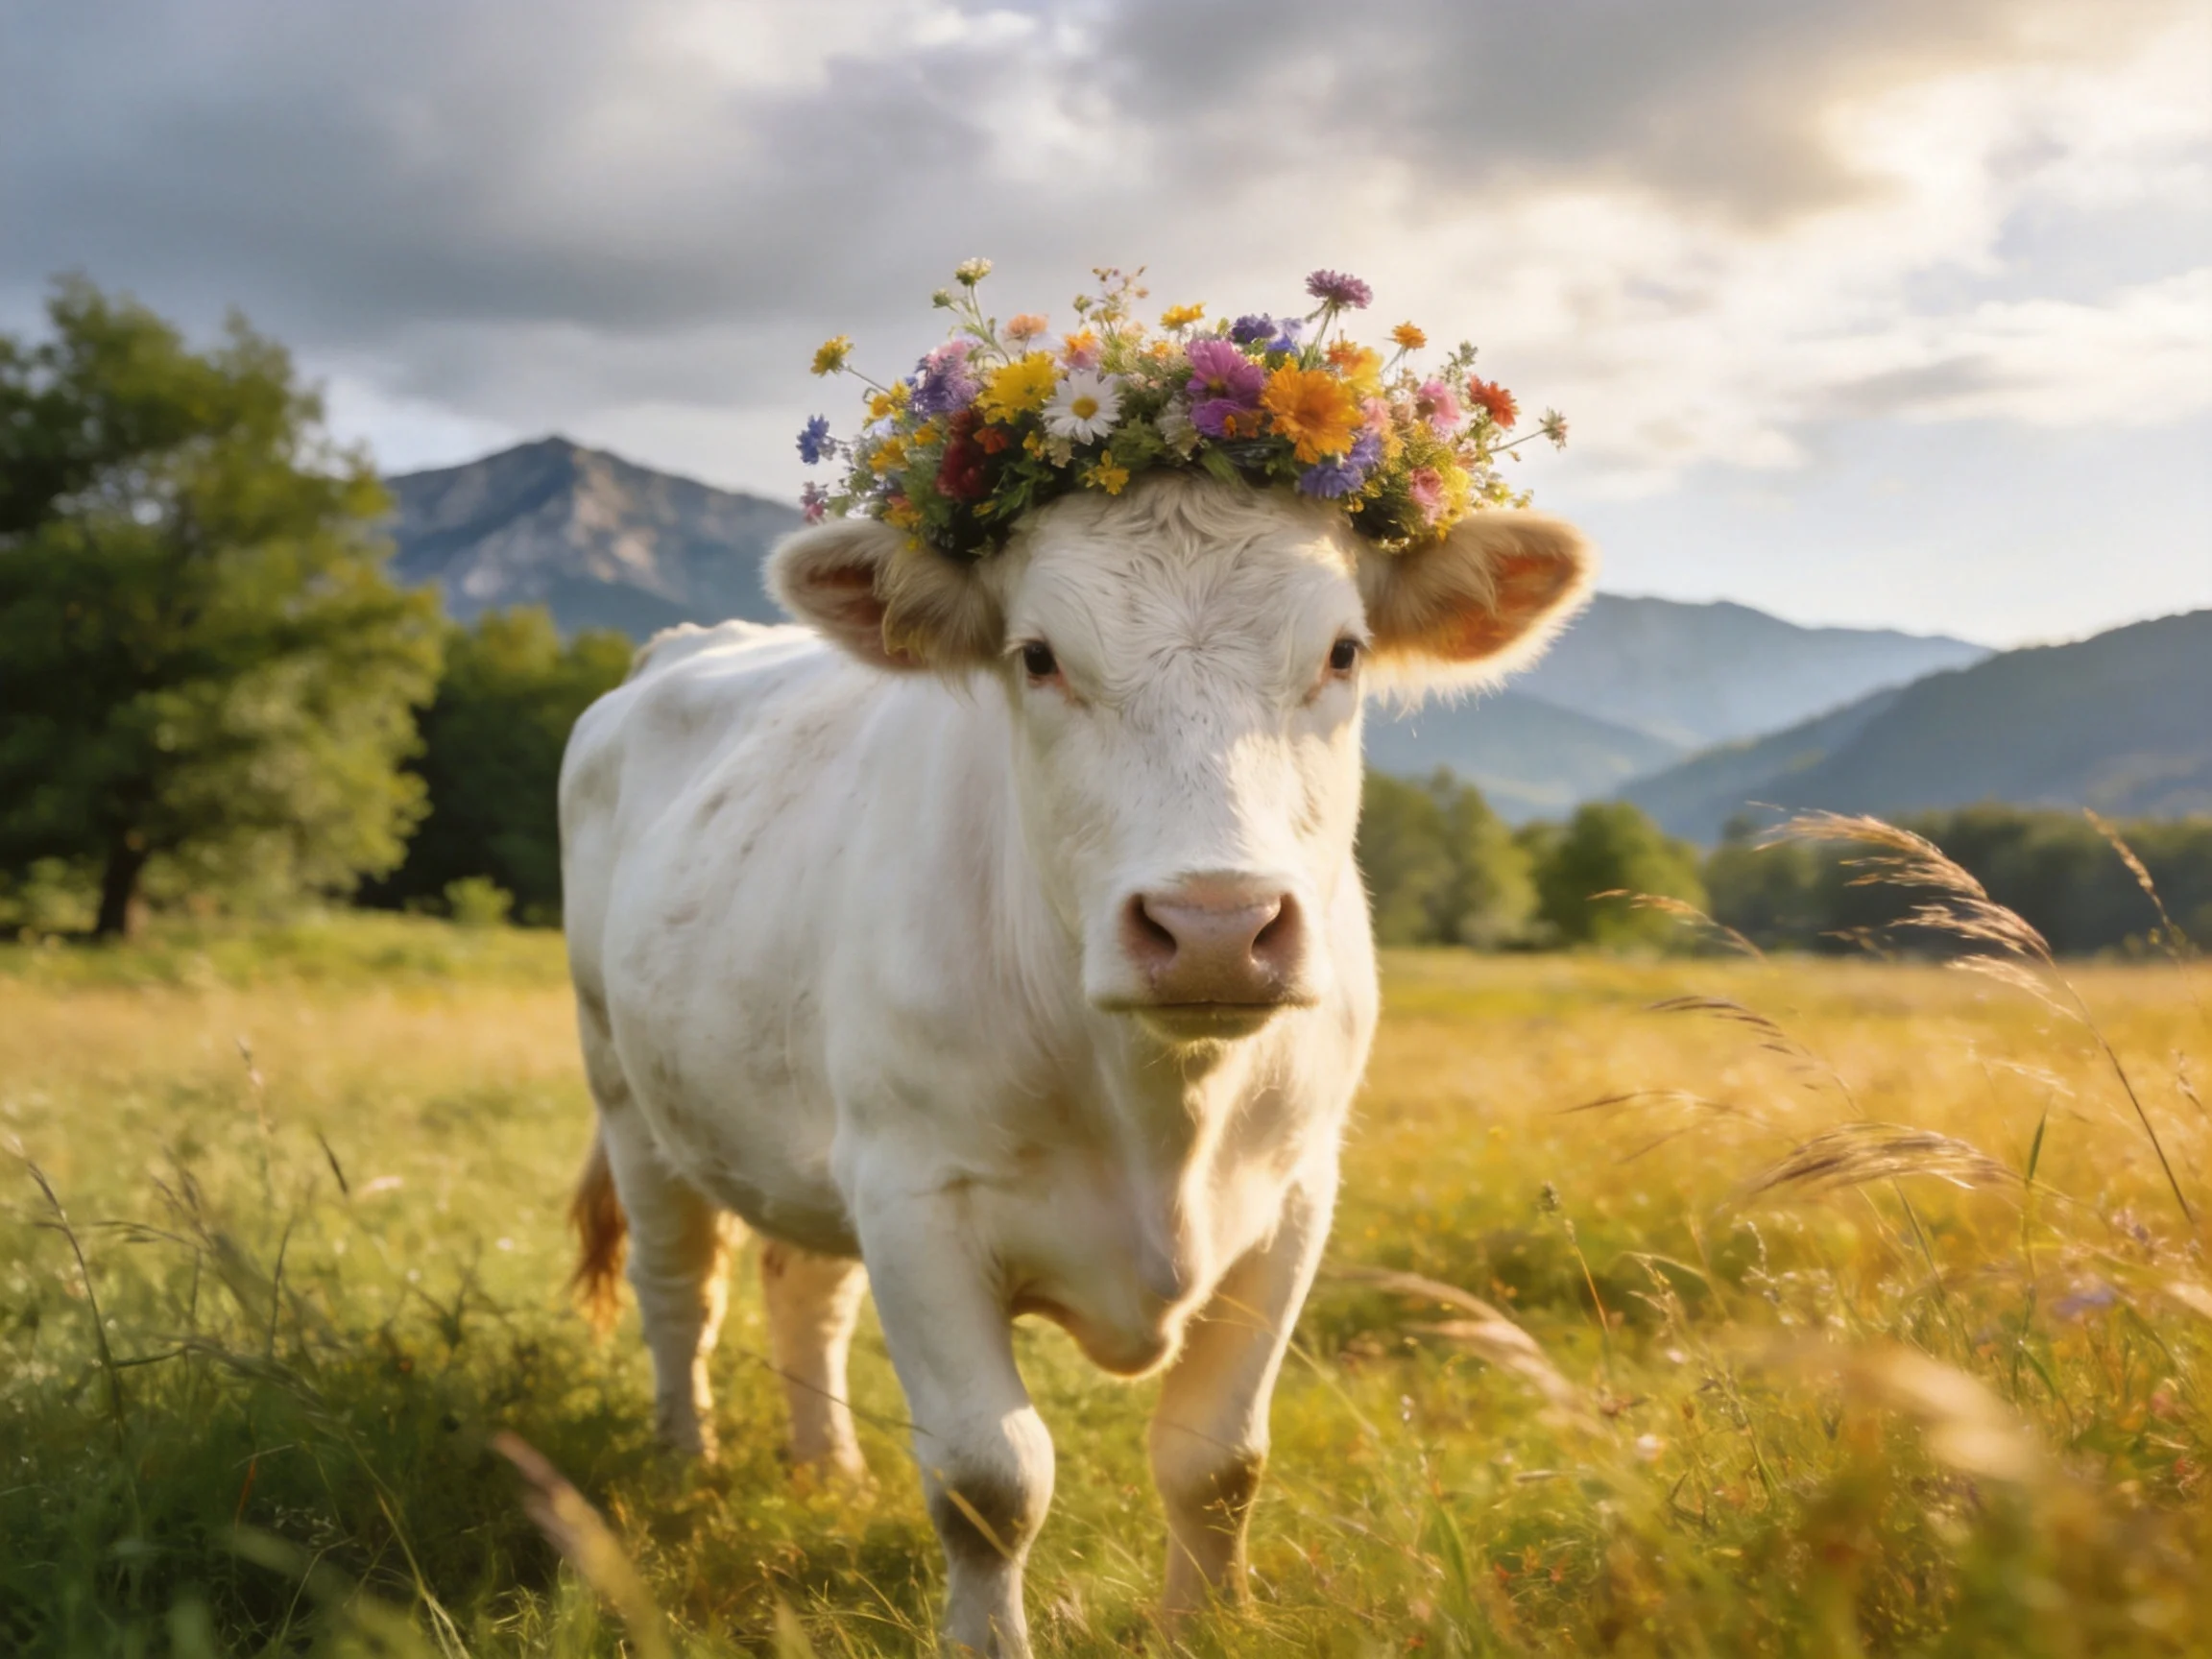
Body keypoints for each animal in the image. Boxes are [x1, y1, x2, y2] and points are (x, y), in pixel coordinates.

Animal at [559, 472, 1591, 1655]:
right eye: (1038, 656)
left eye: (1343, 652)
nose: (1213, 926)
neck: (1161, 1113)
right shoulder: (917, 1199)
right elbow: (990, 1478)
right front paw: (987, 1638)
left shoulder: (1294, 1195)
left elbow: (1216, 1460)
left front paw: (1207, 1624)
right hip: (626, 1090)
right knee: (678, 1290)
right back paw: (686, 1462)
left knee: (804, 1293)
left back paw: (830, 1473)